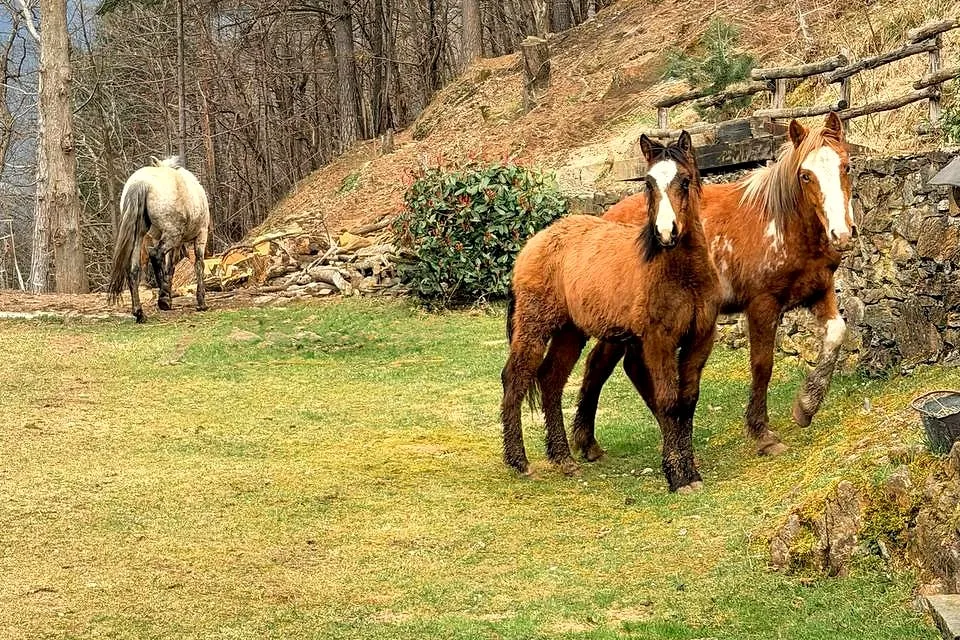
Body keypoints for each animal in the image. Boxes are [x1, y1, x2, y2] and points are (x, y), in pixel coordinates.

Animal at [107, 156, 211, 323]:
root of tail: (142, 183)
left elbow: (170, 266)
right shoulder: (201, 235)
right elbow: (198, 265)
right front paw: (201, 302)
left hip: (140, 236)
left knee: (134, 268)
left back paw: (140, 312)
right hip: (173, 235)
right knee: (155, 254)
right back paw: (162, 298)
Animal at [501, 131, 720, 493]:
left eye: (685, 180)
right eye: (648, 183)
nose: (666, 233)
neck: (682, 274)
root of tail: (536, 242)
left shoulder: (699, 340)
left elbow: (687, 403)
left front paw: (690, 472)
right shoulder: (658, 342)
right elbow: (668, 401)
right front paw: (677, 476)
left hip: (570, 333)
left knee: (550, 380)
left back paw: (563, 458)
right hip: (535, 326)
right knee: (515, 378)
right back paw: (518, 461)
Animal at [570, 112, 855, 461]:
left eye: (846, 167)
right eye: (805, 175)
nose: (841, 233)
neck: (781, 224)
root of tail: (605, 218)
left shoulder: (820, 289)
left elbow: (836, 334)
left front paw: (806, 406)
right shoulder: (762, 306)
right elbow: (762, 364)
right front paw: (762, 433)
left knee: (615, 365)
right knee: (604, 365)